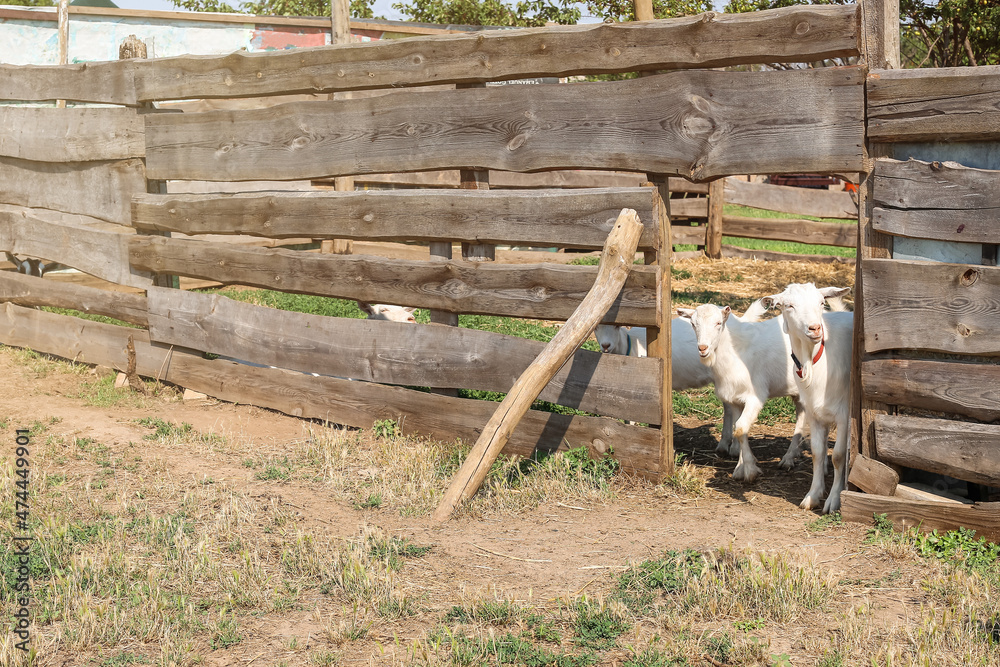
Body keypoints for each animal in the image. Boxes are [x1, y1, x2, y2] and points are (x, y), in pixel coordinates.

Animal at [676, 306, 808, 482]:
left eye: (718, 323)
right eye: (693, 324)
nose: (703, 348)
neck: (735, 353)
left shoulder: (755, 396)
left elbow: (740, 427)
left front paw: (750, 470)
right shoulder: (734, 399)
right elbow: (739, 429)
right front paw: (740, 467)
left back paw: (788, 459)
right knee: (802, 413)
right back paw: (794, 454)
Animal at [764, 284, 852, 516]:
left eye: (821, 303)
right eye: (789, 306)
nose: (815, 329)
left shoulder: (845, 414)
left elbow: (838, 455)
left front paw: (834, 500)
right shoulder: (814, 413)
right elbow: (817, 453)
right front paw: (813, 495)